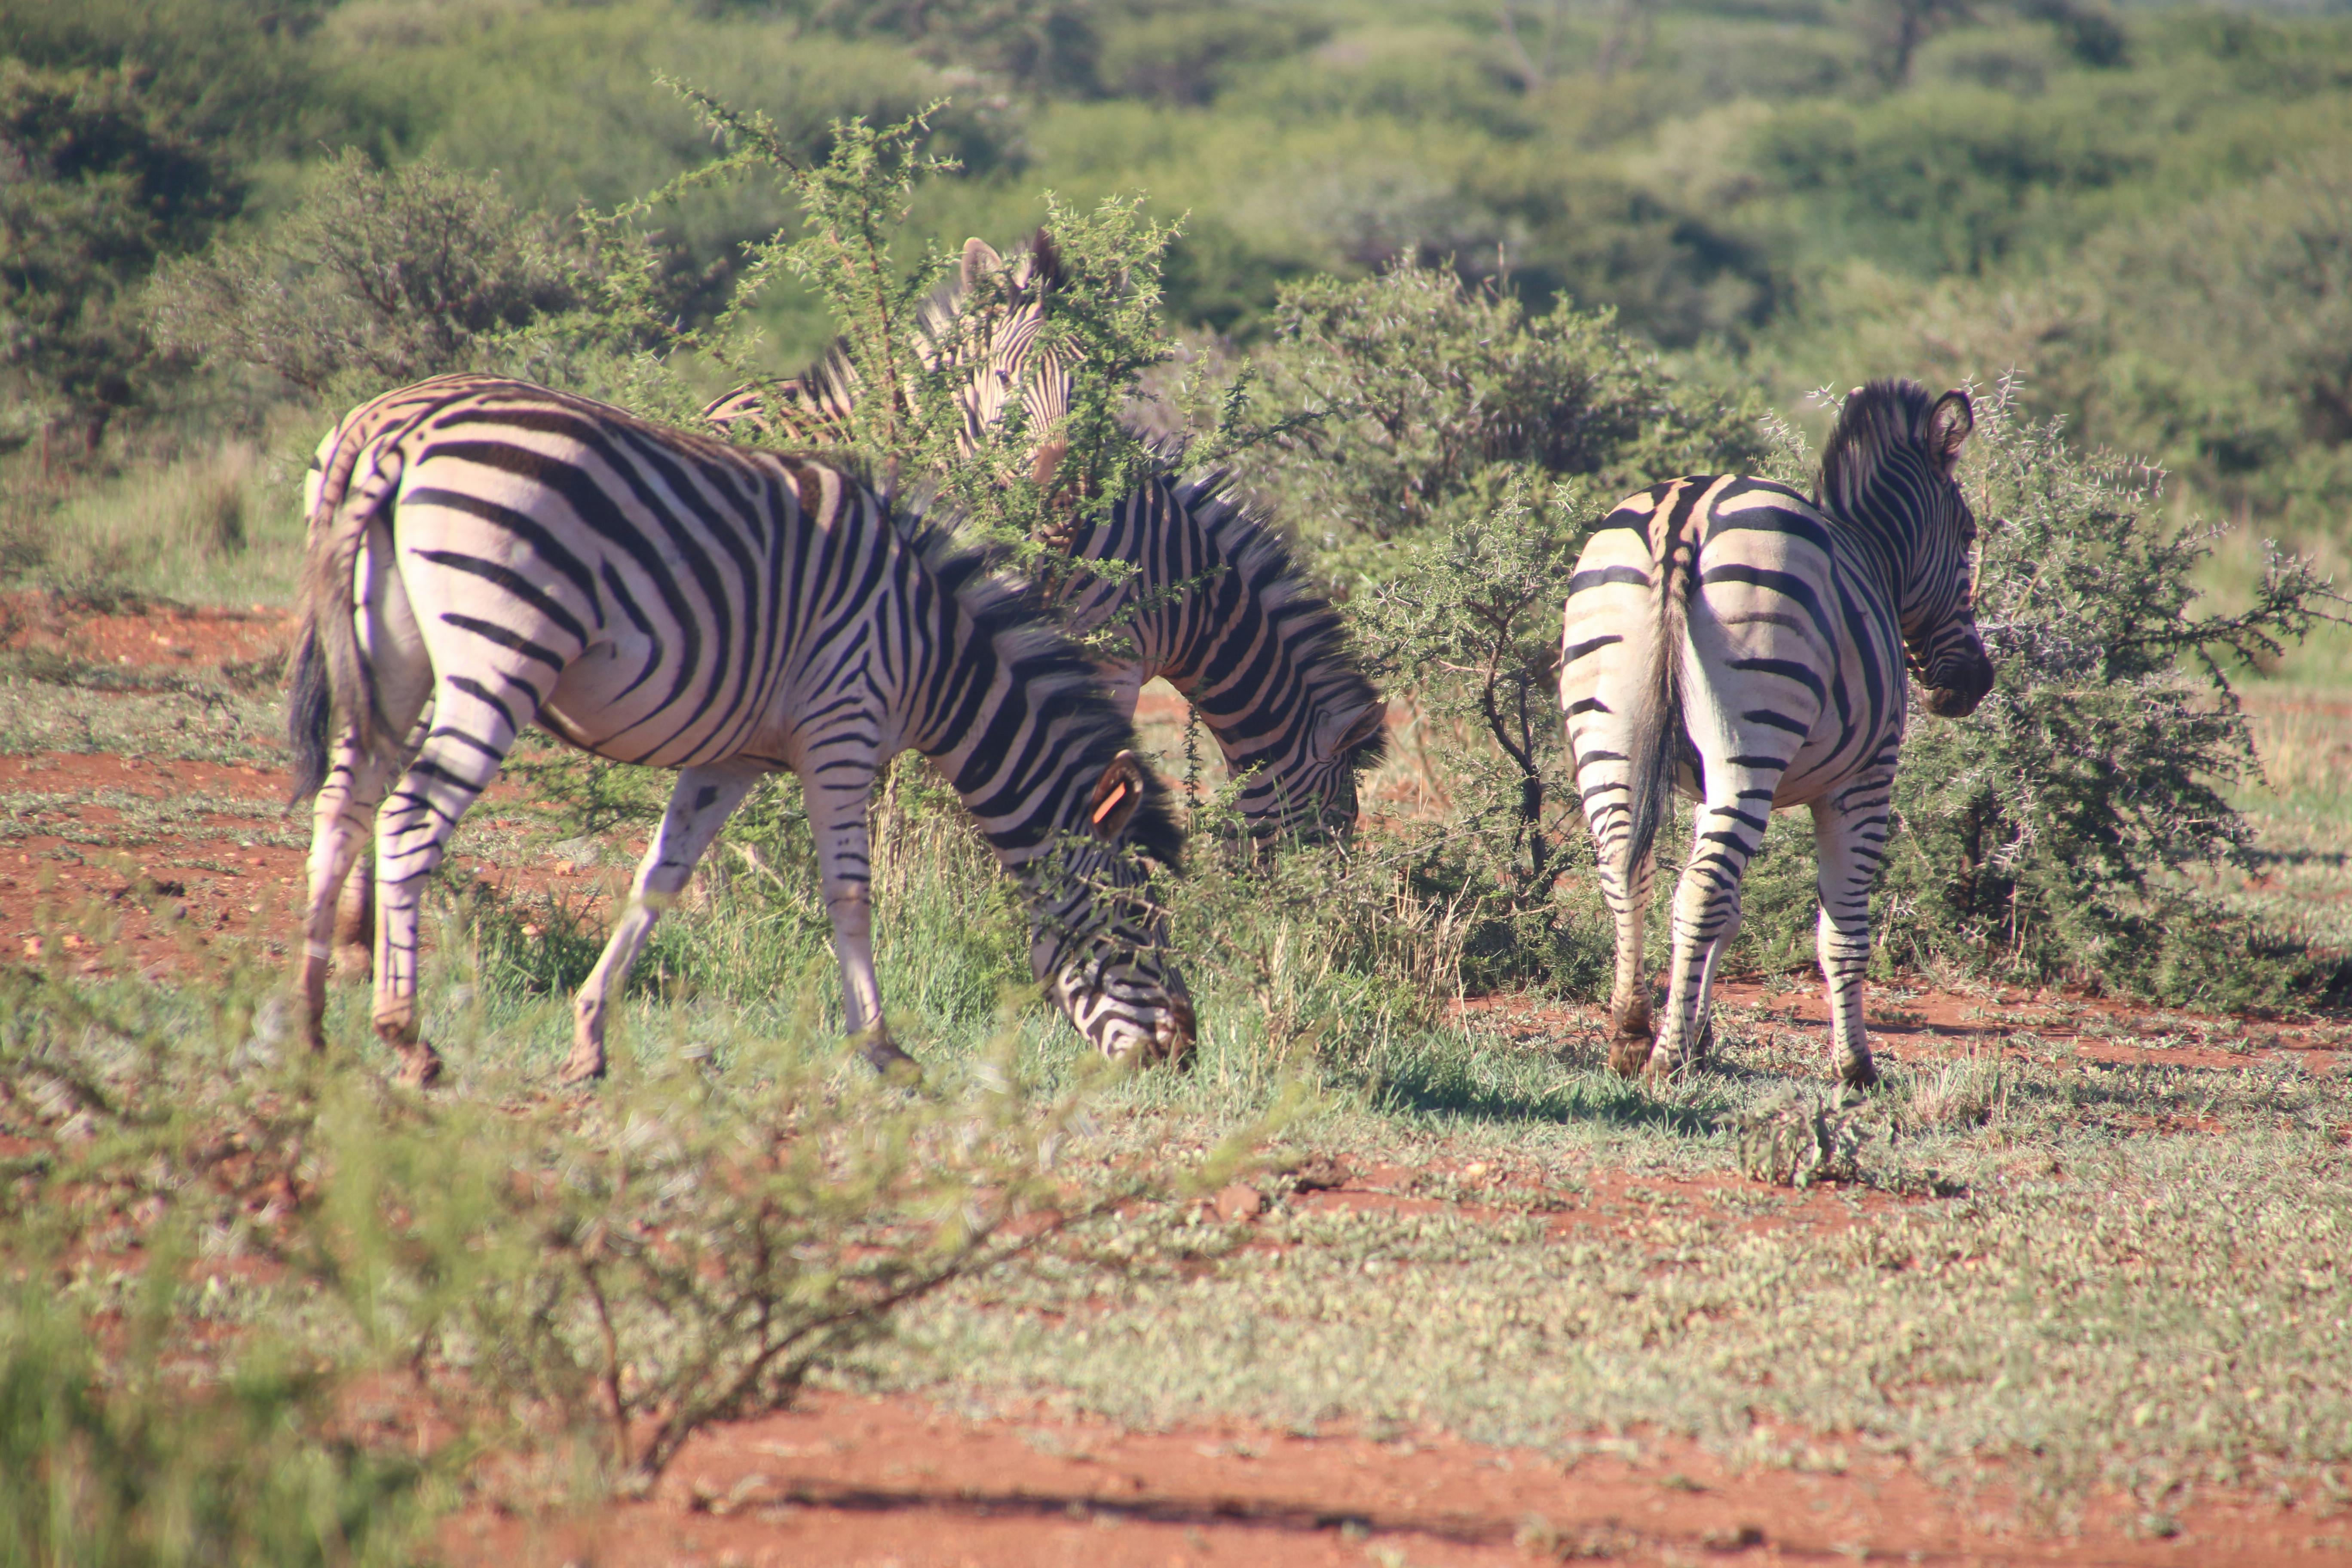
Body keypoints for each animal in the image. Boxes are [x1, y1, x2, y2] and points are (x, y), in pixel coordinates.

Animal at [287, 374, 1194, 1086]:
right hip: (499, 655)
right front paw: (884, 1050)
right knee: (409, 819)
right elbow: (851, 893)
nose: (1181, 1051)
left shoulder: (734, 758)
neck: (933, 653)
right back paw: (406, 1039)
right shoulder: (843, 728)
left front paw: (589, 1039)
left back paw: (311, 1030)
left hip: (389, 658)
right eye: (1138, 925)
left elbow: (658, 878)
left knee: (340, 811)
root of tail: (396, 427)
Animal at [1562, 383, 2004, 1090]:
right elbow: (1843, 931)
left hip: (1609, 728)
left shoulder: (1703, 785)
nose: (1974, 684)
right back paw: (1662, 1060)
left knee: (1625, 869)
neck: (1875, 558)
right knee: (1697, 890)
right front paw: (1855, 1067)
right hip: (1754, 739)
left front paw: (1700, 1035)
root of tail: (1682, 516)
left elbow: (1731, 916)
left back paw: (1631, 1035)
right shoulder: (1865, 778)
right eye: (1967, 535)